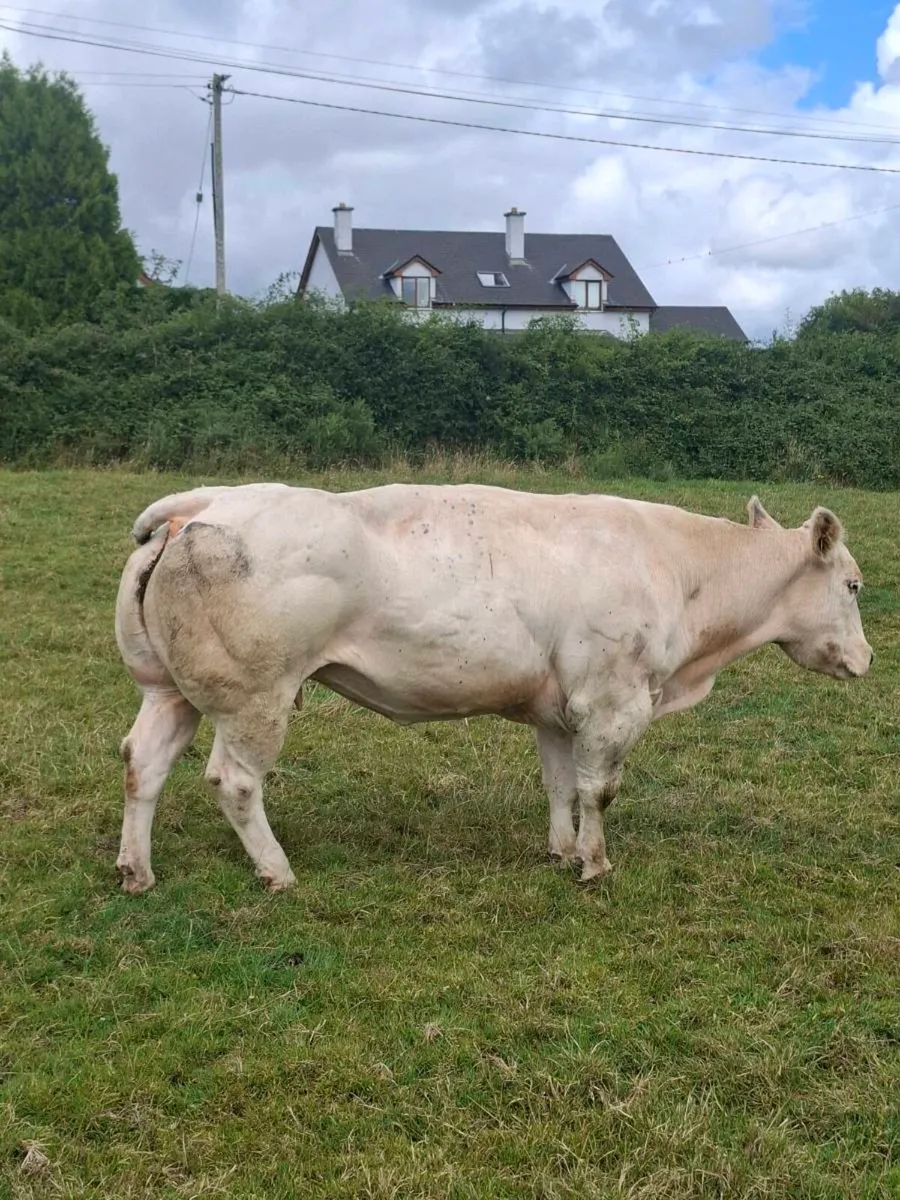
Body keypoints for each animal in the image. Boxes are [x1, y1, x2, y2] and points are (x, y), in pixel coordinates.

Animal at [113, 482, 872, 894]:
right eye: (855, 585)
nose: (867, 658)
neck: (679, 570)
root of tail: (211, 500)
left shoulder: (560, 711)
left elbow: (562, 786)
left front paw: (562, 850)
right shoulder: (613, 701)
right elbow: (600, 789)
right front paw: (596, 864)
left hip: (168, 690)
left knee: (142, 763)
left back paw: (136, 870)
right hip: (256, 697)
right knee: (235, 783)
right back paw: (276, 870)